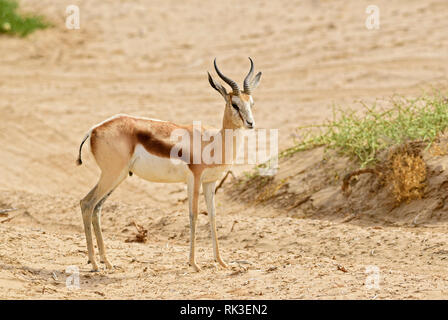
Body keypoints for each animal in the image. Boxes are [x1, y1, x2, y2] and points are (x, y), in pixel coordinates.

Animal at [77, 58, 262, 272]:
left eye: (251, 103)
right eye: (234, 104)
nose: (250, 123)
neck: (214, 141)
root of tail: (94, 129)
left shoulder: (210, 182)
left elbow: (213, 216)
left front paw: (221, 262)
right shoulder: (194, 179)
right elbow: (194, 215)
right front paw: (193, 263)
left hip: (118, 176)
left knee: (96, 208)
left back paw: (106, 261)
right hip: (112, 174)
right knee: (87, 203)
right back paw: (94, 263)